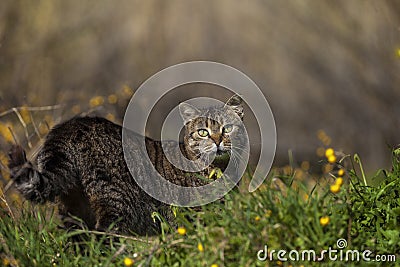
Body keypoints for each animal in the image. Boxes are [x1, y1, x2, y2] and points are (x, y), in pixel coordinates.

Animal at [8, 95, 244, 236]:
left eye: (227, 128)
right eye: (203, 132)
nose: (217, 141)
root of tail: (71, 125)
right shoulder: (192, 218)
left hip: (73, 211)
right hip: (116, 203)